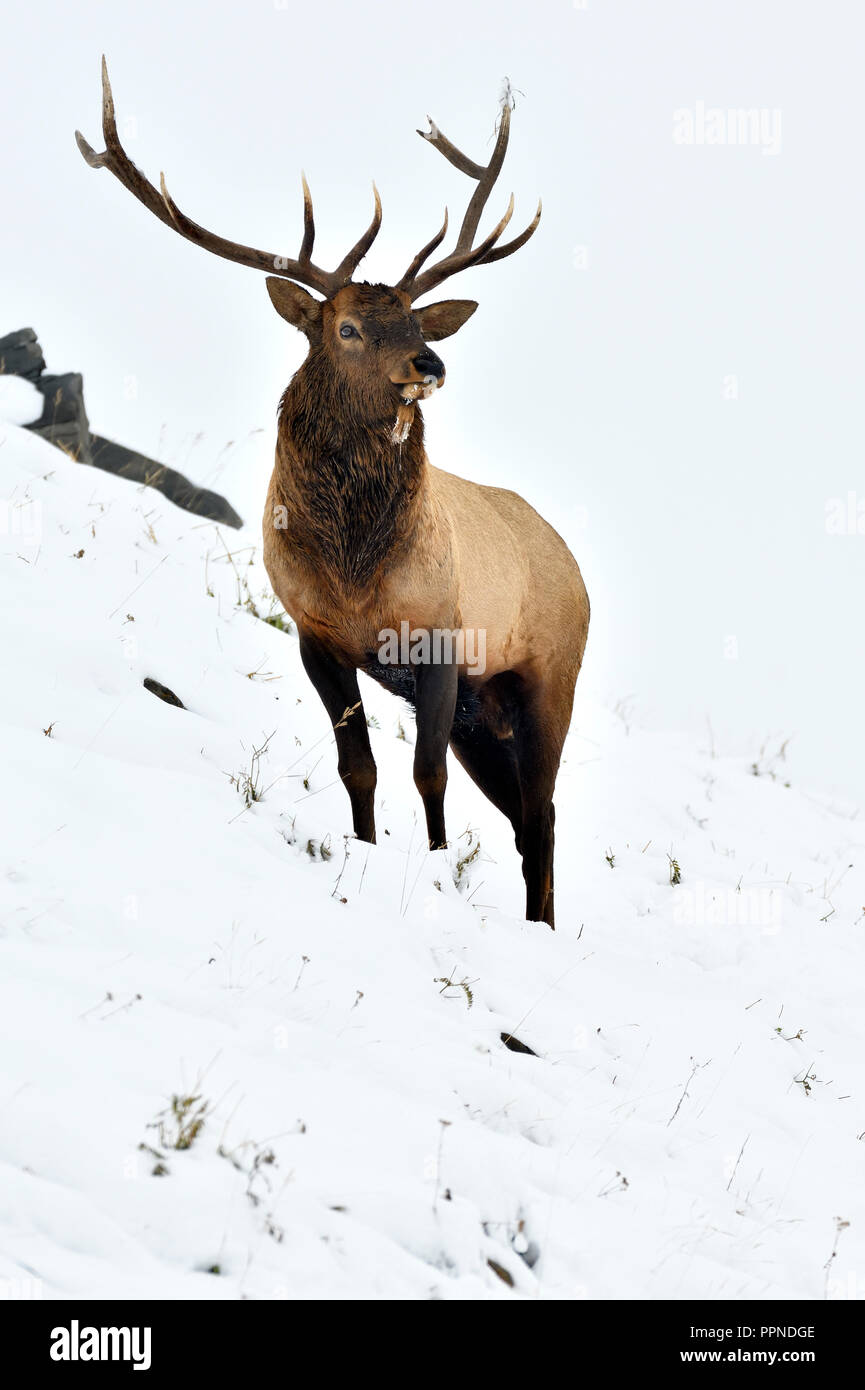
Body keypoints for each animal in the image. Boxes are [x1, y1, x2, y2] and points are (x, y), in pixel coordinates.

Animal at [76, 62, 589, 922]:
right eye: (346, 328)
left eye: (416, 320)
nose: (429, 364)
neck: (354, 570)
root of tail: (573, 561)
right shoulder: (316, 635)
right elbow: (361, 769)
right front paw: (367, 853)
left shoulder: (440, 634)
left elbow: (425, 774)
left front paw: (436, 872)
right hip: (486, 710)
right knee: (527, 814)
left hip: (550, 672)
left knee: (543, 814)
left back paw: (542, 926)